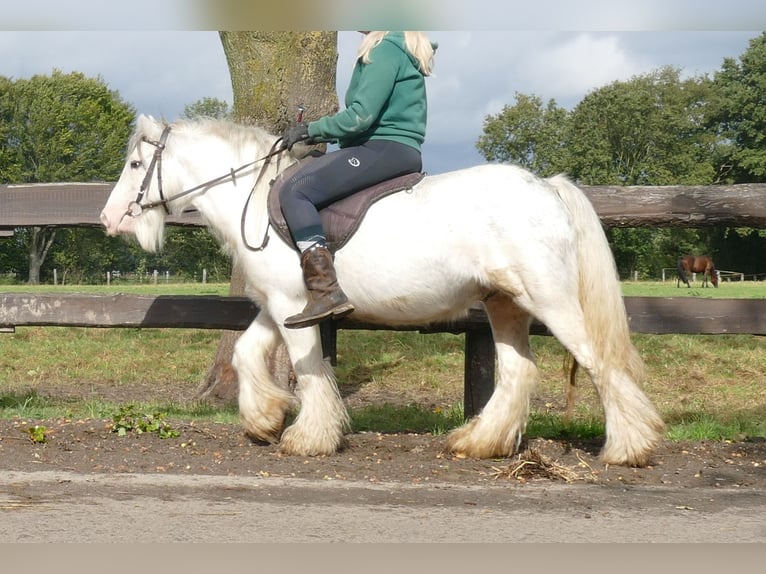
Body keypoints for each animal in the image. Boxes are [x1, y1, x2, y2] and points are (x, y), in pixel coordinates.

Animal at [100, 116, 664, 468]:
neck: (255, 200)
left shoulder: (294, 308)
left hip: (552, 301)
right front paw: (264, 419)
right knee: (518, 371)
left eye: (135, 166)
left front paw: (308, 438)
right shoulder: (280, 307)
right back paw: (480, 442)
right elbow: (245, 352)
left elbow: (310, 369)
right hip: (504, 304)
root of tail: (548, 186)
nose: (109, 219)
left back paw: (628, 448)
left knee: (599, 363)